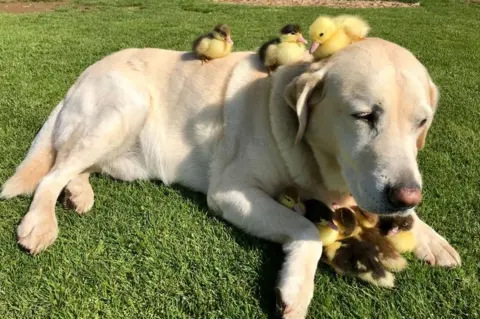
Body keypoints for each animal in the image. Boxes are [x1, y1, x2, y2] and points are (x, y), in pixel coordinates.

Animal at [2, 38, 462, 318]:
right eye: (364, 116)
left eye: (422, 123)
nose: (406, 195)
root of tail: (80, 77)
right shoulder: (232, 191)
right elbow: (307, 230)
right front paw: (295, 288)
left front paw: (432, 239)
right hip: (126, 105)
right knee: (52, 173)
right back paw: (40, 223)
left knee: (73, 168)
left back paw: (78, 193)